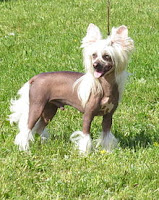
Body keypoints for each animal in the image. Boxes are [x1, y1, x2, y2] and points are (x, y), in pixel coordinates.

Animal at [9, 23, 134, 155]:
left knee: (38, 128)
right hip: (37, 107)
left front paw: (108, 151)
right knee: (27, 128)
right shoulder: (88, 114)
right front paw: (84, 153)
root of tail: (36, 77)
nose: (95, 65)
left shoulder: (108, 116)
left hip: (49, 110)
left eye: (107, 56)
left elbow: (106, 135)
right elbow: (85, 135)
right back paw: (24, 148)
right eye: (94, 55)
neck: (104, 87)